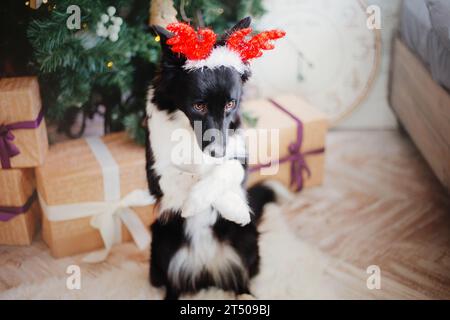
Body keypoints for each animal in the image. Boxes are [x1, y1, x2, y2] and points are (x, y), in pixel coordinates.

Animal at [145, 16, 284, 300]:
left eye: (231, 104)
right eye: (199, 105)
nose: (217, 151)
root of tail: (207, 268)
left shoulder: (239, 156)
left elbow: (227, 170)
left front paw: (234, 207)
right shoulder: (156, 173)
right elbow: (184, 175)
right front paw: (194, 203)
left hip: (246, 240)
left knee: (242, 279)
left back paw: (245, 294)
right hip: (161, 241)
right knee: (172, 284)